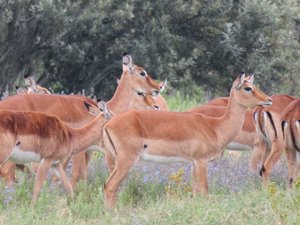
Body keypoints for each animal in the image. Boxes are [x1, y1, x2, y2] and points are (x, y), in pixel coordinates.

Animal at [101, 74, 272, 207]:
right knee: (109, 186)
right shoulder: (201, 161)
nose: (269, 99)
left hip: (114, 161)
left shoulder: (193, 163)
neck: (215, 127)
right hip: (126, 160)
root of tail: (108, 124)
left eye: (254, 85)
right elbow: (204, 190)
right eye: (247, 88)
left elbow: (196, 192)